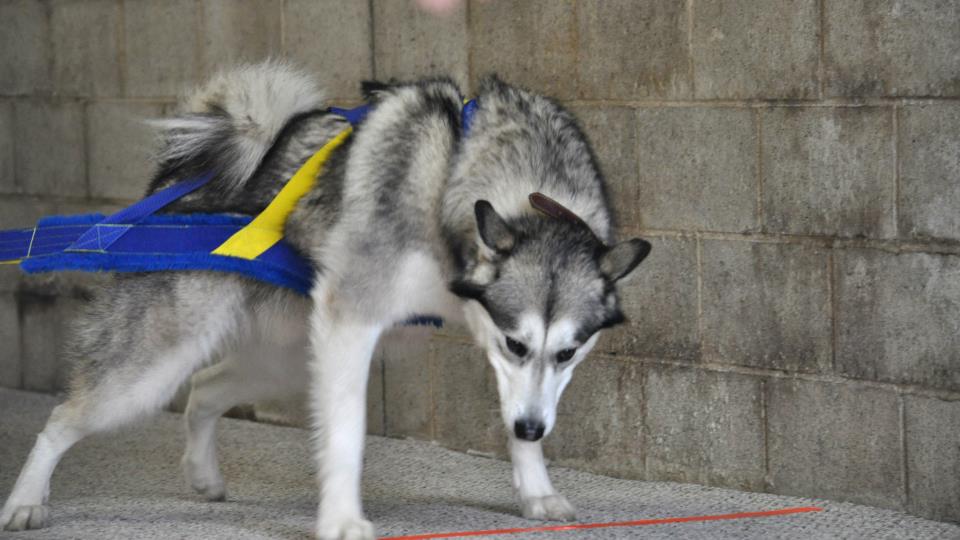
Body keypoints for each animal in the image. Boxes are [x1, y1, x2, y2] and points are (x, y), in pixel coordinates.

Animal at [1, 61, 652, 536]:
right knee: (63, 418)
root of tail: (178, 180)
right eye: (518, 344)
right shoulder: (353, 324)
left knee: (205, 389)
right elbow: (345, 433)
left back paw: (204, 476)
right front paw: (341, 520)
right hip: (156, 367)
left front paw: (536, 489)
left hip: (287, 359)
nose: (533, 430)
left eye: (568, 354)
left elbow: (515, 412)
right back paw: (26, 501)